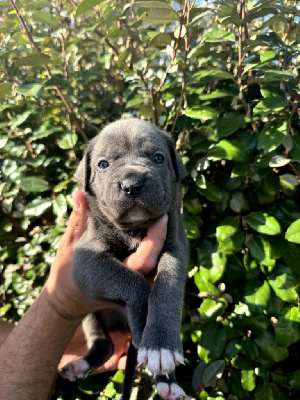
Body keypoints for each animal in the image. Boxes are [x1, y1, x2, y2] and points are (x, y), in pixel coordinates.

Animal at [60, 119, 189, 400]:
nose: (132, 184)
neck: (134, 229)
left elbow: (166, 288)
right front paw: (144, 331)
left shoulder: (175, 246)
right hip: (89, 314)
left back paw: (169, 383)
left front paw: (159, 346)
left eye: (158, 158)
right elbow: (134, 282)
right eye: (103, 164)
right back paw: (80, 364)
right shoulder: (86, 261)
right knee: (103, 343)